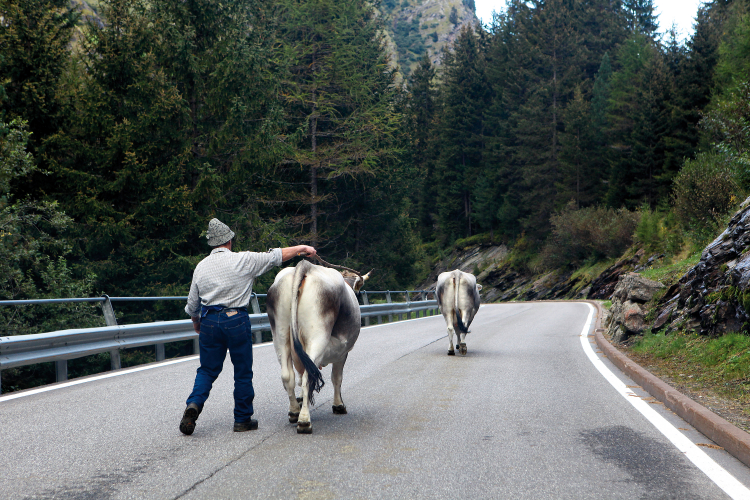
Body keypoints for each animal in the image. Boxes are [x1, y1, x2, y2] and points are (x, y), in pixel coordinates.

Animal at [266, 260, 372, 432]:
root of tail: (305, 266)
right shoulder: (343, 352)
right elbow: (337, 377)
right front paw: (338, 405)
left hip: (280, 335)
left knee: (288, 375)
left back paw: (294, 412)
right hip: (317, 335)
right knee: (309, 376)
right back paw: (304, 421)